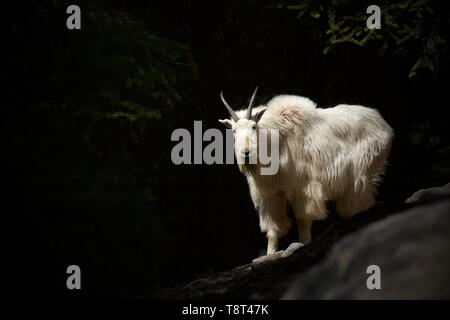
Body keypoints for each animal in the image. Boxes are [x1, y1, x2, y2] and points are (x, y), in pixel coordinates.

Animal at [220, 87, 392, 255]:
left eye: (253, 126)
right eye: (234, 130)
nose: (246, 153)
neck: (275, 141)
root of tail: (384, 126)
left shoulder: (303, 188)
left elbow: (302, 219)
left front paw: (302, 244)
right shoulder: (270, 193)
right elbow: (272, 228)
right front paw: (270, 253)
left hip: (361, 173)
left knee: (360, 201)